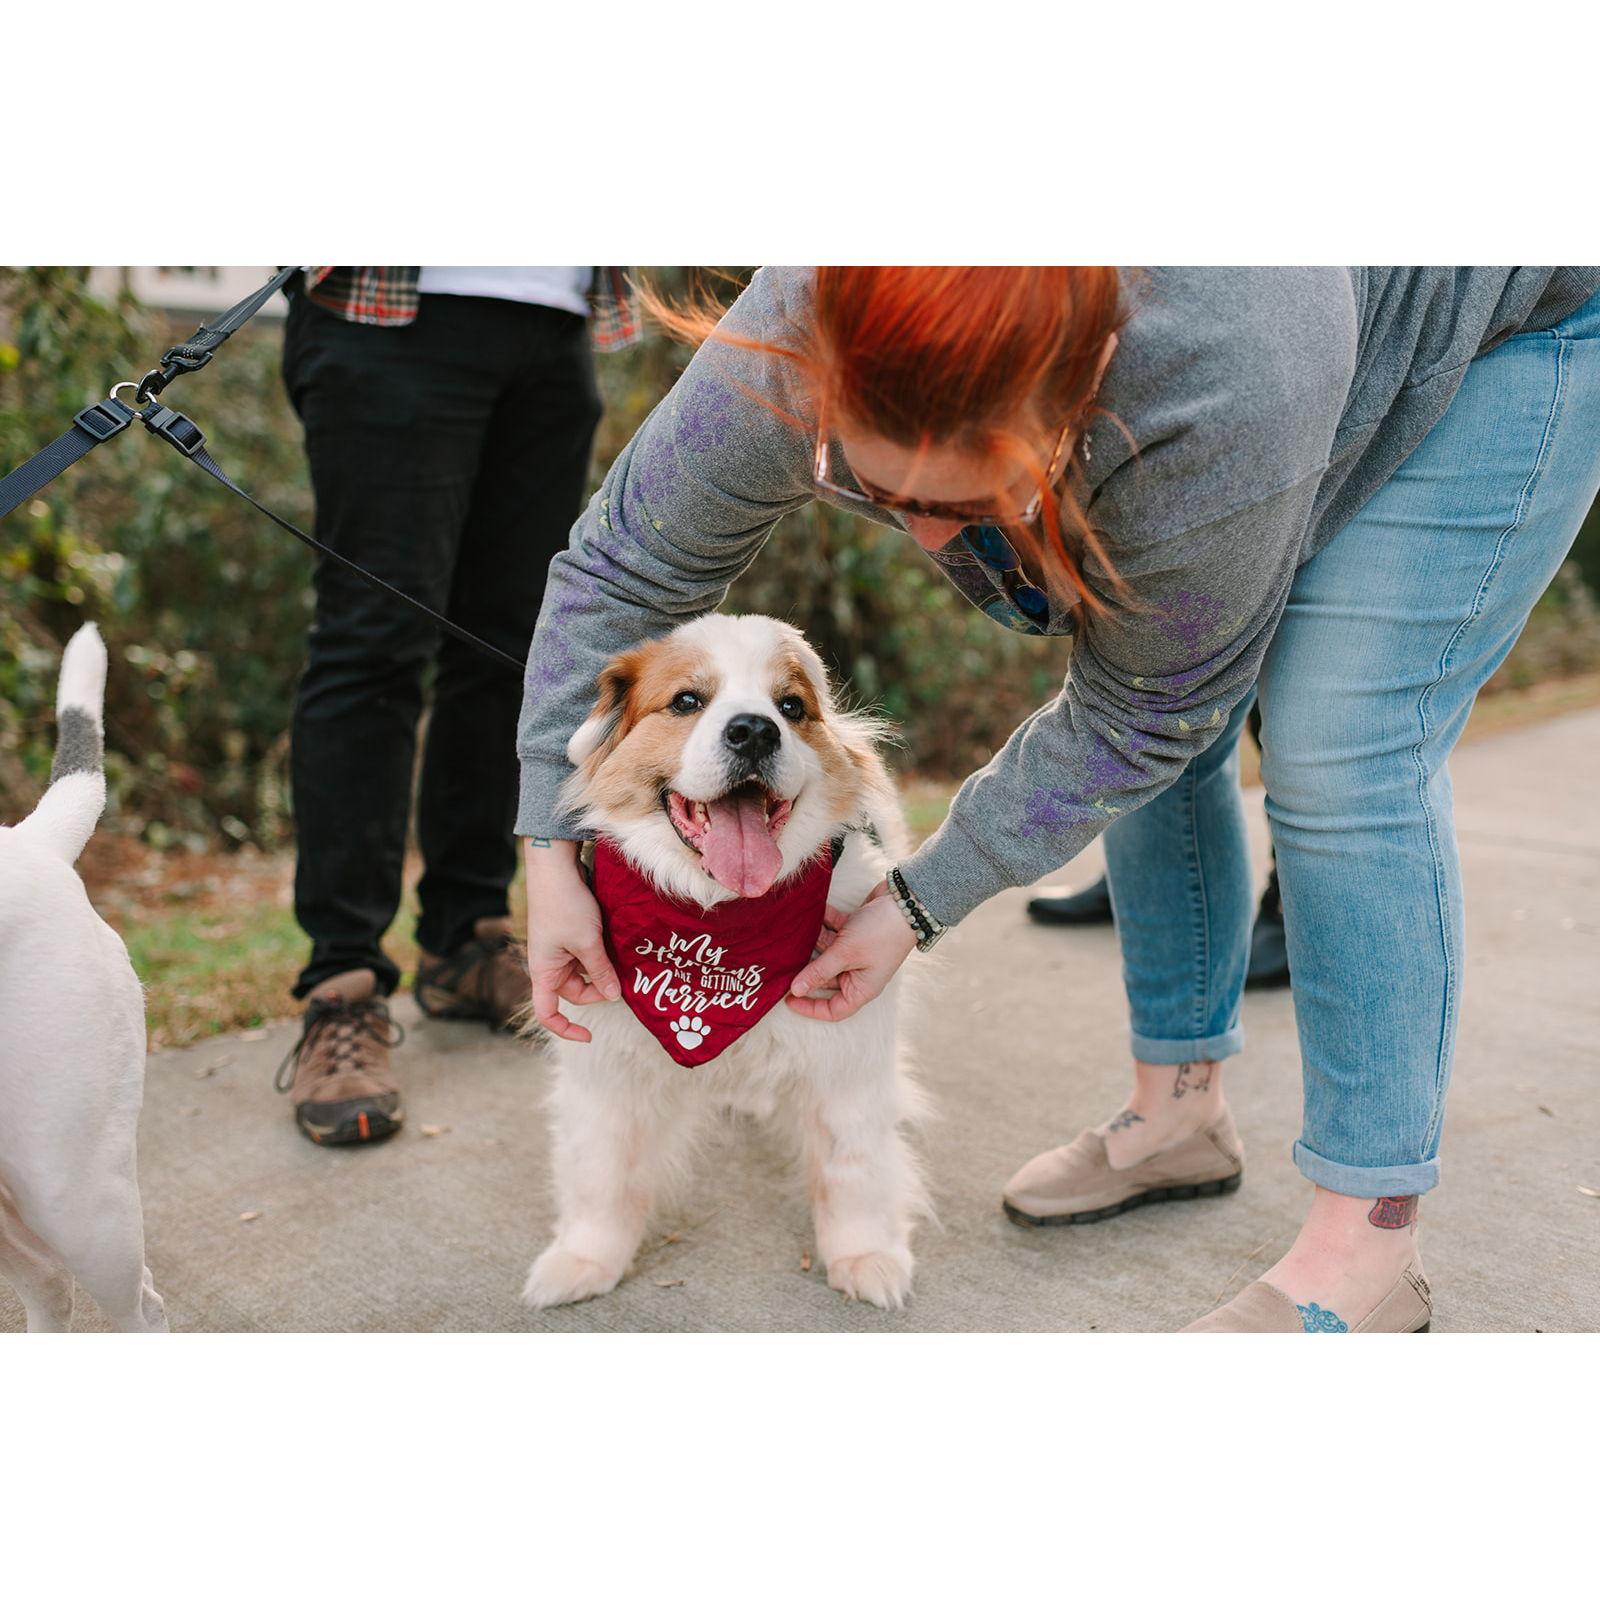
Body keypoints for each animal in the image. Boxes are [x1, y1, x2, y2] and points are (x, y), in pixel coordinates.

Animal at [524, 611, 928, 1312]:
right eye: (688, 701)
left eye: (791, 708)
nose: (754, 730)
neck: (717, 921)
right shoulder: (605, 1064)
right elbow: (601, 1172)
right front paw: (583, 1260)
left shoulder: (847, 1053)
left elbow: (853, 1168)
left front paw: (866, 1257)